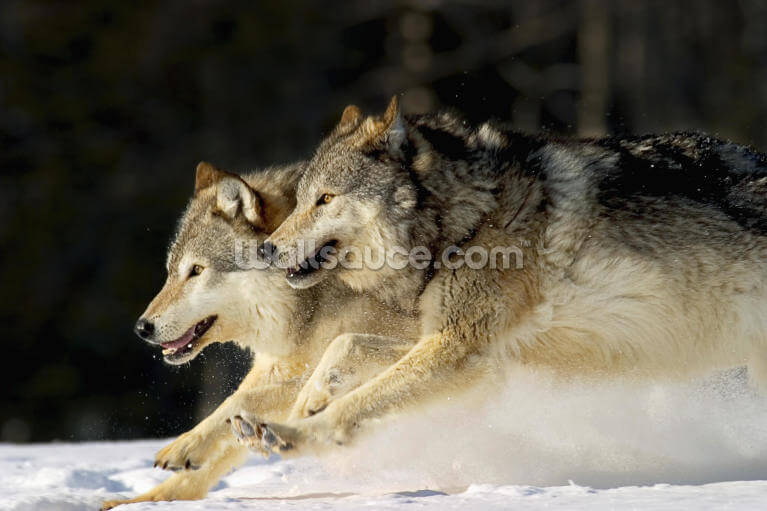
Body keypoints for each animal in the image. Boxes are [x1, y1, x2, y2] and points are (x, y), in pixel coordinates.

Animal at [102, 161, 418, 509]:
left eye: (196, 270)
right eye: (171, 272)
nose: (141, 328)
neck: (309, 301)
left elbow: (243, 398)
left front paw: (186, 445)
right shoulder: (276, 365)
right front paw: (145, 499)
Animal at [231, 96, 767, 459]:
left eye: (325, 199)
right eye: (301, 200)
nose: (267, 249)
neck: (469, 218)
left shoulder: (458, 348)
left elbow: (355, 405)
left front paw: (293, 433)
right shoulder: (480, 356)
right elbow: (346, 346)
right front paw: (308, 400)